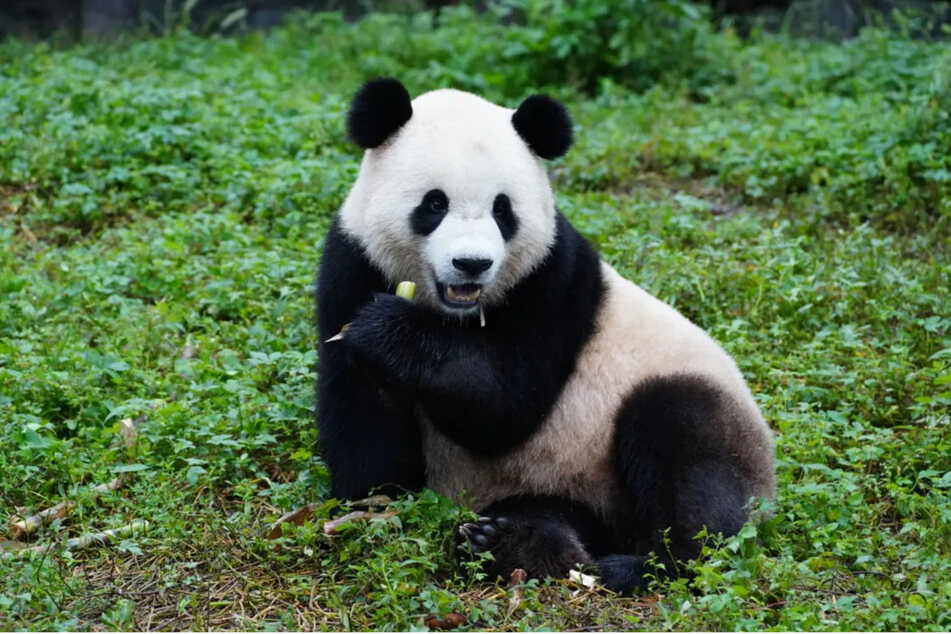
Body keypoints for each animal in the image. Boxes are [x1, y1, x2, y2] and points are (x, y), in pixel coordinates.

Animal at [316, 76, 776, 592]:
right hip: (554, 484)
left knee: (688, 449)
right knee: (553, 513)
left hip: (686, 413)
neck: (455, 314)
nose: (472, 264)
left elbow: (506, 407)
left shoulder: (553, 279)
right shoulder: (352, 263)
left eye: (502, 210)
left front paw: (388, 331)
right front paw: (371, 497)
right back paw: (510, 543)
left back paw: (644, 566)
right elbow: (364, 418)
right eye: (434, 203)